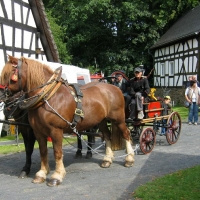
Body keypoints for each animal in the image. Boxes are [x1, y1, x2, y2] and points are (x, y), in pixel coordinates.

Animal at [0, 55, 134, 186]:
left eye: (9, 74)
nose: (1, 95)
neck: (47, 97)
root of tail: (115, 88)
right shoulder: (38, 132)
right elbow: (42, 151)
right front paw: (41, 174)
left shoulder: (55, 131)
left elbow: (57, 152)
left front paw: (57, 176)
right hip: (102, 121)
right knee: (107, 136)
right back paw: (107, 159)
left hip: (118, 119)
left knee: (126, 134)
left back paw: (129, 159)